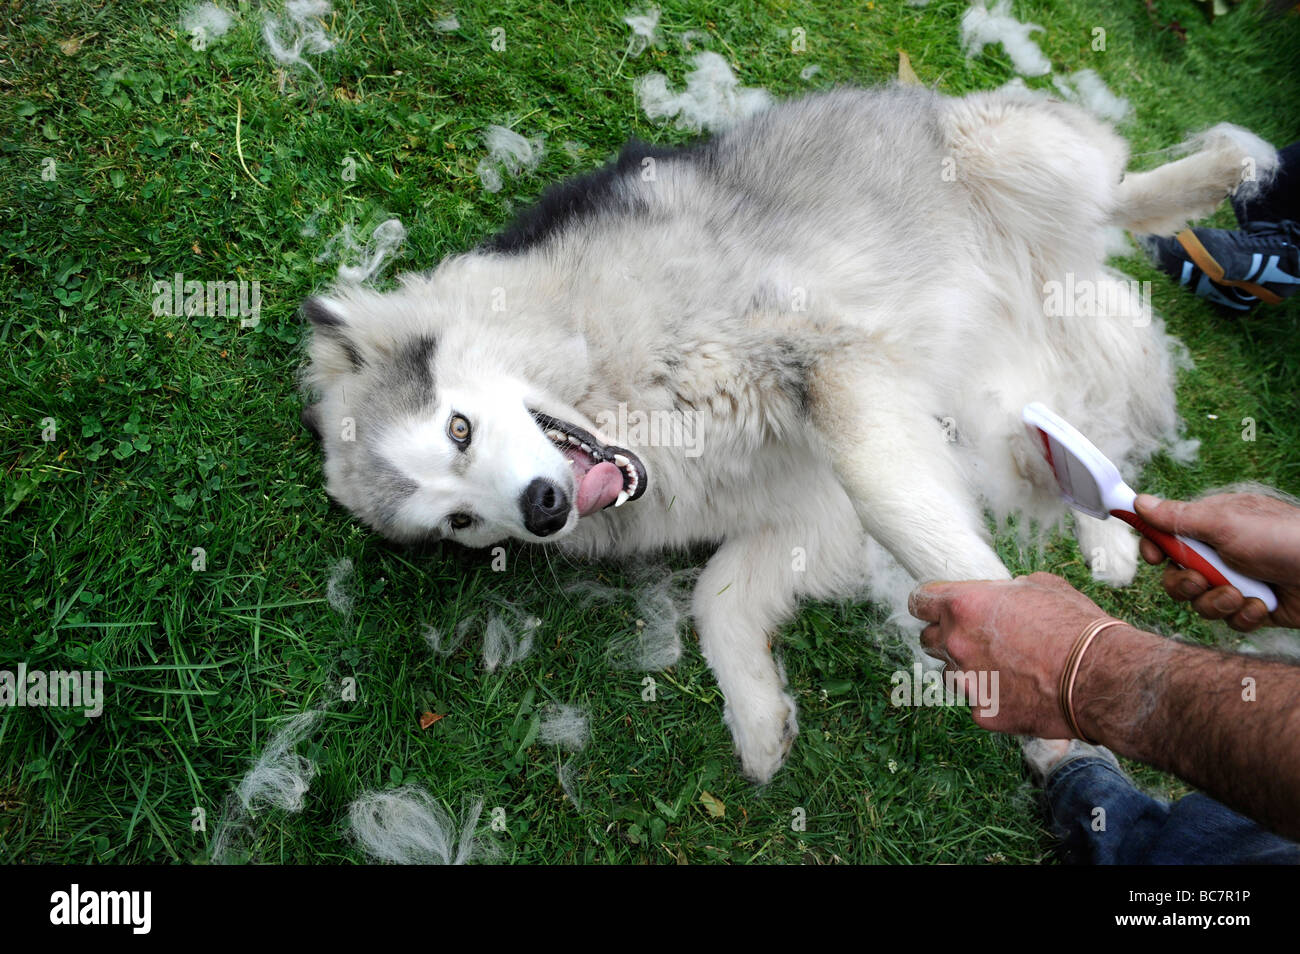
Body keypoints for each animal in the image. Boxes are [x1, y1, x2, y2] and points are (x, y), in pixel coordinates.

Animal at [299, 82, 1274, 785]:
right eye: (458, 523)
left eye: (459, 428)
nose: (542, 509)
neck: (615, 383)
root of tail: (1054, 283)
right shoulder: (807, 510)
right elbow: (720, 594)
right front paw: (760, 720)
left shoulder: (823, 362)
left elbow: (892, 506)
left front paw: (1024, 675)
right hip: (1001, 413)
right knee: (1071, 443)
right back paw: (1109, 539)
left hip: (1004, 154)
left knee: (1114, 193)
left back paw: (1223, 167)